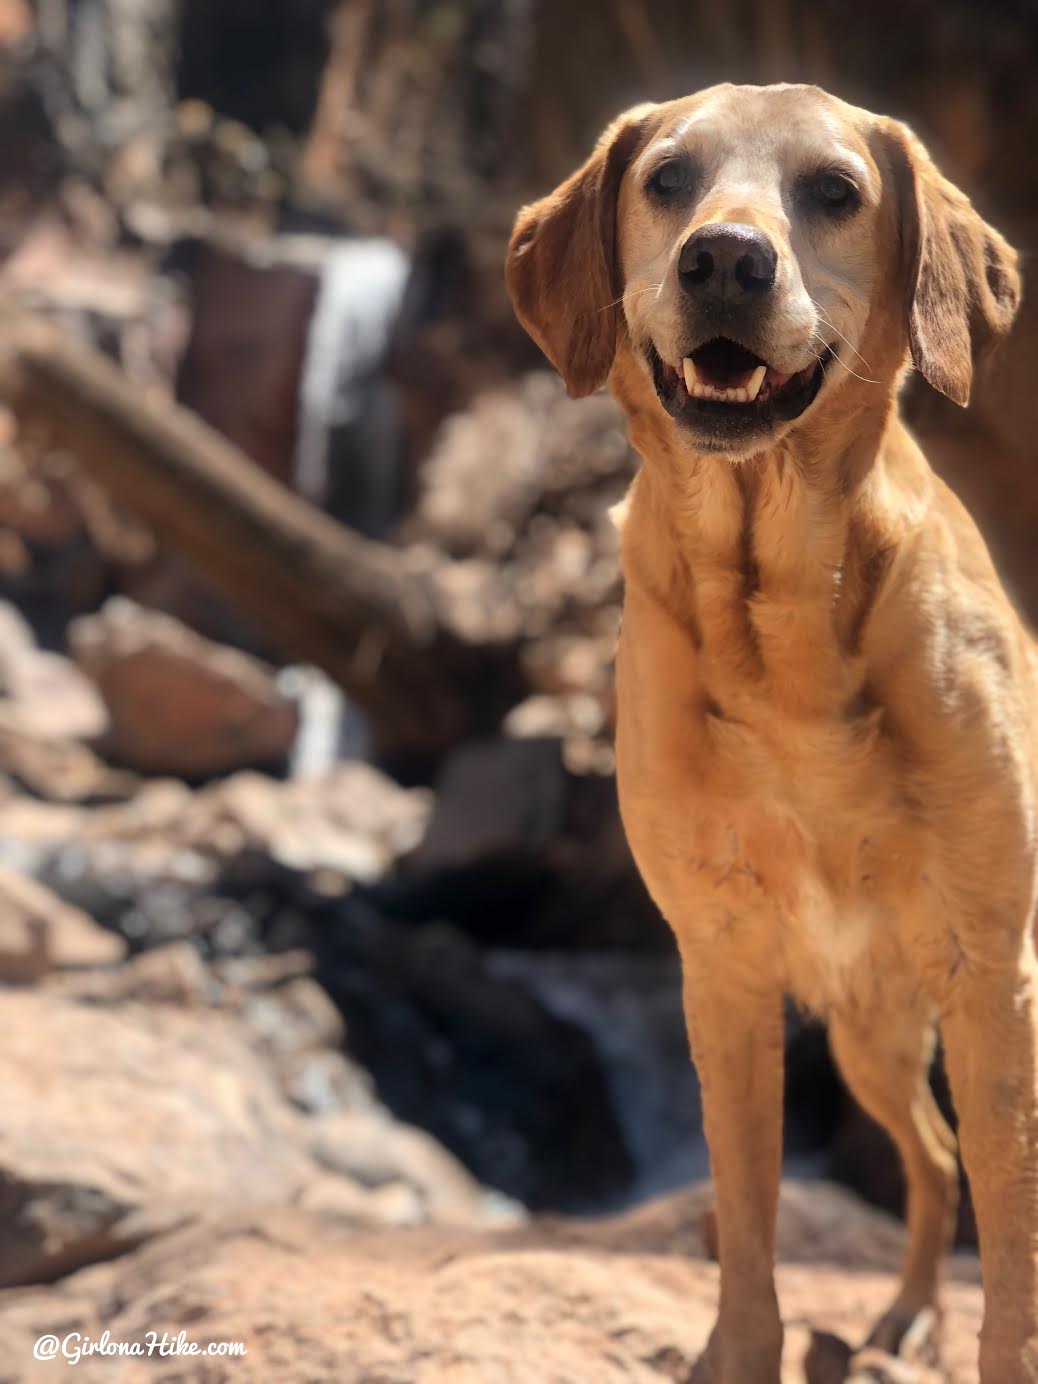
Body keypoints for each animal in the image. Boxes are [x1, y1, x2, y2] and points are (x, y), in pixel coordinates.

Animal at [509, 83, 1035, 1384]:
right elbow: (747, 1211)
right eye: (668, 178)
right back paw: (901, 1318)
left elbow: (1015, 1241)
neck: (779, 603)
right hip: (870, 1038)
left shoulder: (991, 971)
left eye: (835, 191)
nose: (726, 260)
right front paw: (740, 1351)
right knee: (930, 1155)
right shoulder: (725, 967)